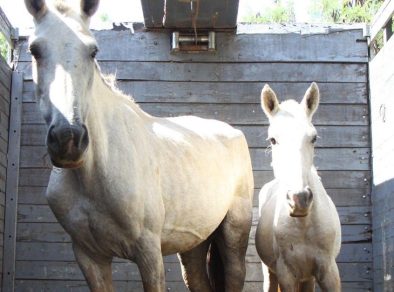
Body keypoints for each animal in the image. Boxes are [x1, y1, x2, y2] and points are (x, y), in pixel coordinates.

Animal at [23, 1, 252, 290]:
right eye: (34, 50)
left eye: (93, 51)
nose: (68, 139)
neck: (95, 172)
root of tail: (234, 132)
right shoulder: (89, 256)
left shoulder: (148, 252)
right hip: (195, 245)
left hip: (234, 235)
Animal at [255, 82, 342, 292]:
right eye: (273, 140)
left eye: (314, 138)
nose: (299, 199)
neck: (304, 225)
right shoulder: (286, 274)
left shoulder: (328, 271)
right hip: (271, 271)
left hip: (307, 277)